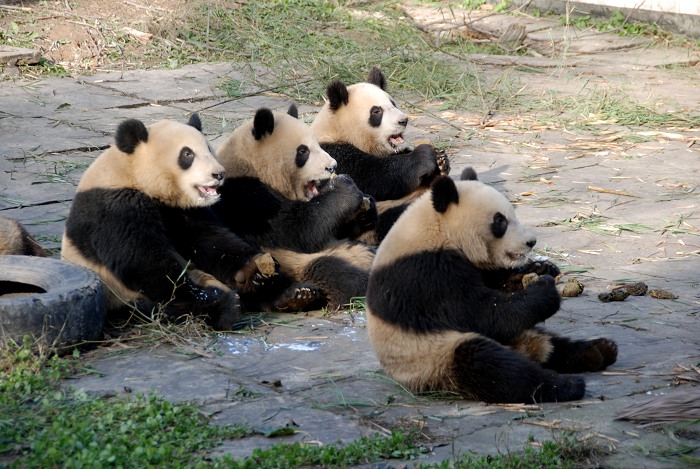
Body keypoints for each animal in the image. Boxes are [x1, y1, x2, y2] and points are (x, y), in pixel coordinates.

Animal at [60, 113, 300, 330]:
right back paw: (224, 305)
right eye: (187, 154)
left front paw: (252, 267)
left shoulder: (182, 210)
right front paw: (214, 298)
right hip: (119, 294)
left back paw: (291, 293)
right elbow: (141, 260)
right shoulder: (113, 206)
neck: (133, 172)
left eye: (208, 148)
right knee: (168, 306)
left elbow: (208, 240)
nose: (218, 174)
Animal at [213, 104, 378, 308]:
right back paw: (299, 295)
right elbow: (297, 230)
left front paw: (366, 208)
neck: (252, 166)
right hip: (291, 264)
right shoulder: (245, 198)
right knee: (333, 273)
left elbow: (334, 228)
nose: (332, 166)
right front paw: (344, 185)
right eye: (303, 151)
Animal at [310, 67, 448, 243]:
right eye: (376, 111)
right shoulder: (331, 153)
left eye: (393, 103)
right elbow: (373, 175)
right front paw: (424, 156)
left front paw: (441, 162)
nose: (403, 120)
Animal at [366, 168, 616, 402]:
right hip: (433, 358)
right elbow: (478, 312)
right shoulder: (426, 274)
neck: (437, 229)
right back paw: (566, 385)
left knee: (550, 344)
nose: (531, 241)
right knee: (493, 366)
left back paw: (599, 351)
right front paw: (544, 290)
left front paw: (543, 269)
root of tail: (522, 349)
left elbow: (497, 287)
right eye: (500, 221)